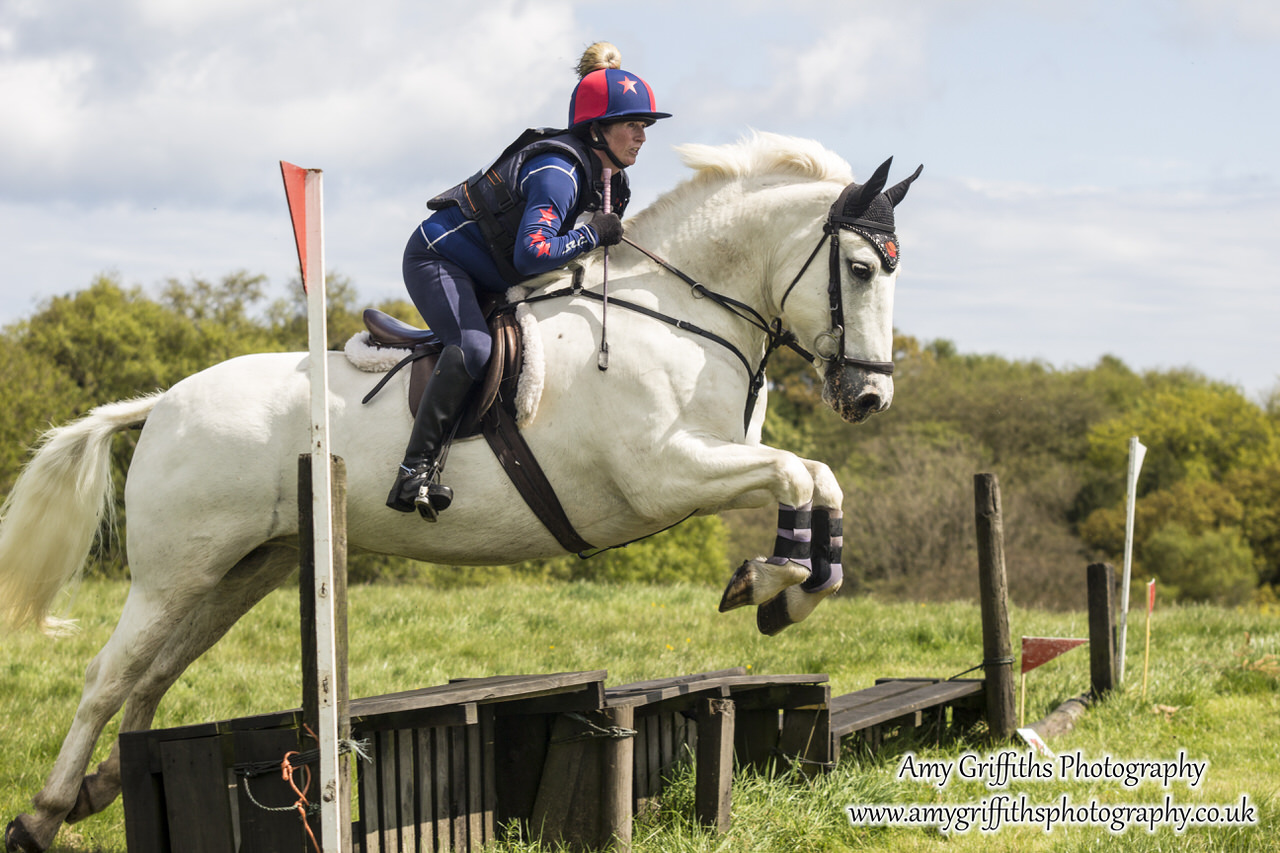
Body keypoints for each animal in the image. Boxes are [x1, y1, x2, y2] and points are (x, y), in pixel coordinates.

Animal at [0, 133, 921, 850]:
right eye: (861, 268)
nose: (872, 399)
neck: (676, 313)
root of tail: (163, 401)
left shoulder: (712, 461)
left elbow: (820, 478)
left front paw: (789, 591)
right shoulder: (667, 473)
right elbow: (801, 472)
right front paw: (771, 585)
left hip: (246, 567)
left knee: (155, 673)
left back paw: (101, 786)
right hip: (176, 571)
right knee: (110, 675)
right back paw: (42, 814)